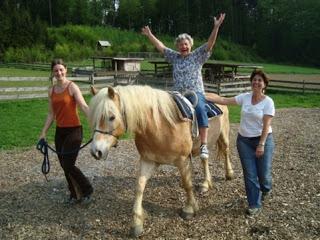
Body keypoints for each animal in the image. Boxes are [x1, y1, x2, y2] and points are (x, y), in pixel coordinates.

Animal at [89, 85, 234, 237]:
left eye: (112, 117)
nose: (96, 151)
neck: (160, 125)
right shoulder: (147, 160)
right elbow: (139, 187)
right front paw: (137, 223)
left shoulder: (182, 161)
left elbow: (187, 184)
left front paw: (189, 209)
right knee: (204, 159)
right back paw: (206, 184)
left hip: (223, 135)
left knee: (225, 151)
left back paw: (229, 174)